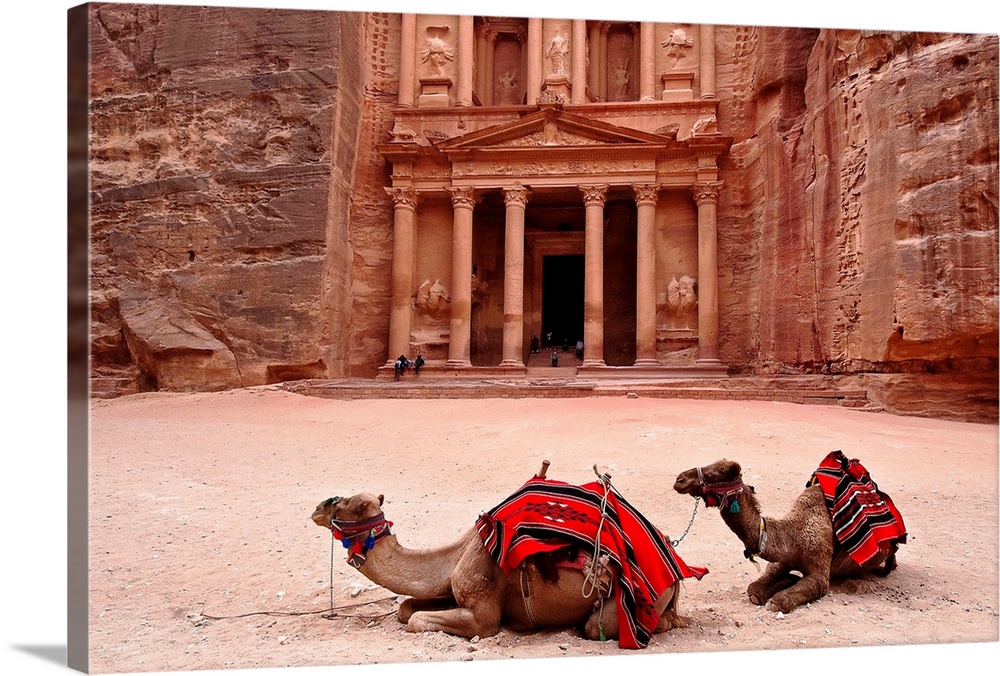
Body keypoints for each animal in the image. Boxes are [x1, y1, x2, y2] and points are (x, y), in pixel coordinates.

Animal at [308, 464, 700, 644]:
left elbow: (417, 620)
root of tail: (674, 566)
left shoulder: (483, 614)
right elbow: (406, 608)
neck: (459, 551)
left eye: (350, 503)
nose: (319, 506)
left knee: (604, 626)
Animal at [672, 454, 908, 612]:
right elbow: (754, 590)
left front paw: (780, 594)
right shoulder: (781, 561)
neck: (794, 533)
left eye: (718, 473)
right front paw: (785, 581)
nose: (679, 479)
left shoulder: (820, 573)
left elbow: (780, 601)